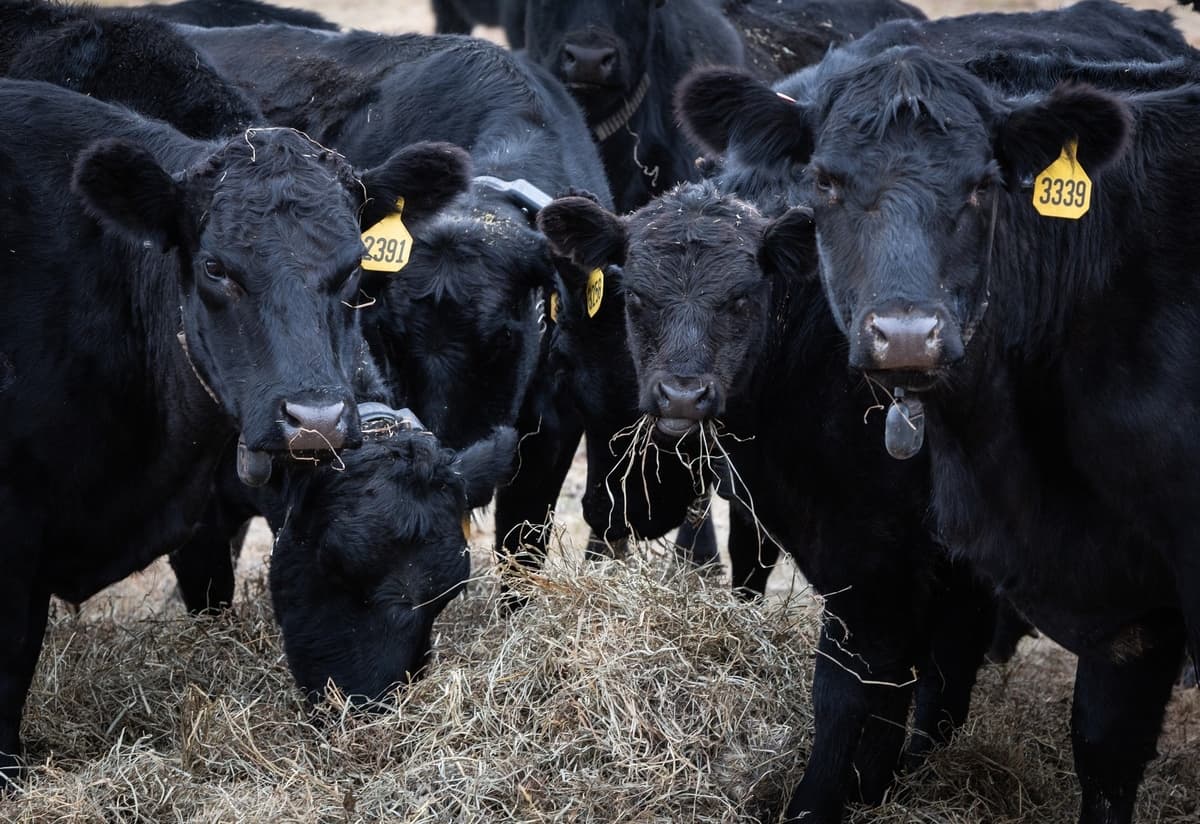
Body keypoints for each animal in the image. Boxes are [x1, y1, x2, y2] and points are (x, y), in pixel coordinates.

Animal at [538, 182, 1001, 824]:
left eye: (740, 298)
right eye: (636, 298)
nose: (681, 394)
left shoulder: (876, 558)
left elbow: (846, 690)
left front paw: (817, 803)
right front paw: (874, 788)